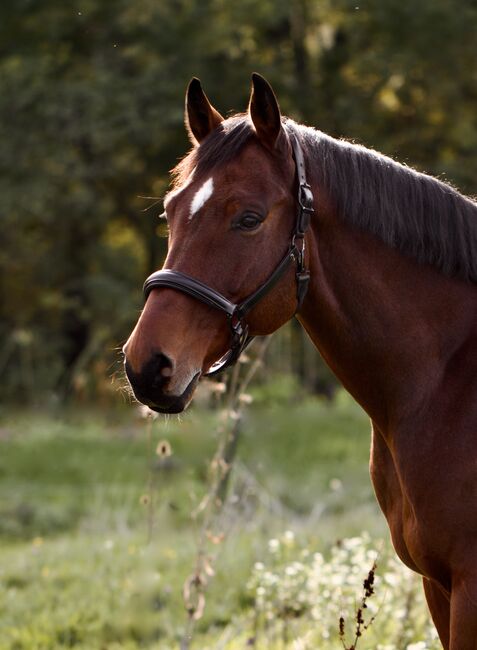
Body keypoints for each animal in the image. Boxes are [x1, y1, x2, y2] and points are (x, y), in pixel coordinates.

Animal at [123, 73, 476, 644]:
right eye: (169, 211)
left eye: (248, 218)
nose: (146, 365)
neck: (447, 380)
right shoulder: (438, 587)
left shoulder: (468, 589)